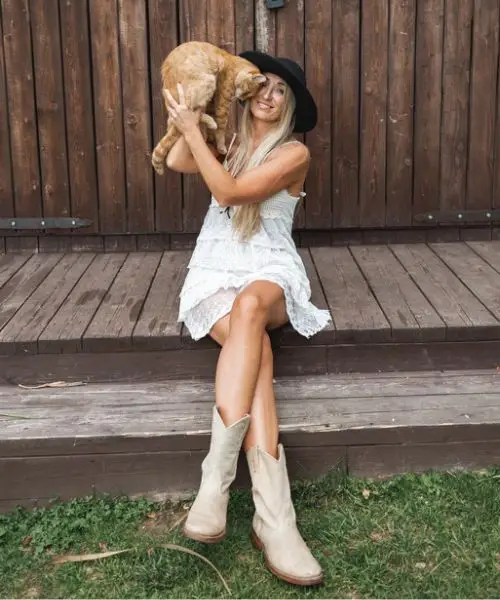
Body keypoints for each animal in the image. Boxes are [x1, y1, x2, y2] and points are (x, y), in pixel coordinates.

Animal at [151, 40, 266, 173]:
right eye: (247, 93)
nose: (241, 99)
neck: (234, 64)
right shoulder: (222, 101)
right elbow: (221, 126)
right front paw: (221, 146)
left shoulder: (213, 100)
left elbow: (213, 117)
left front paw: (213, 139)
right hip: (208, 81)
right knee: (192, 111)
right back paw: (211, 122)